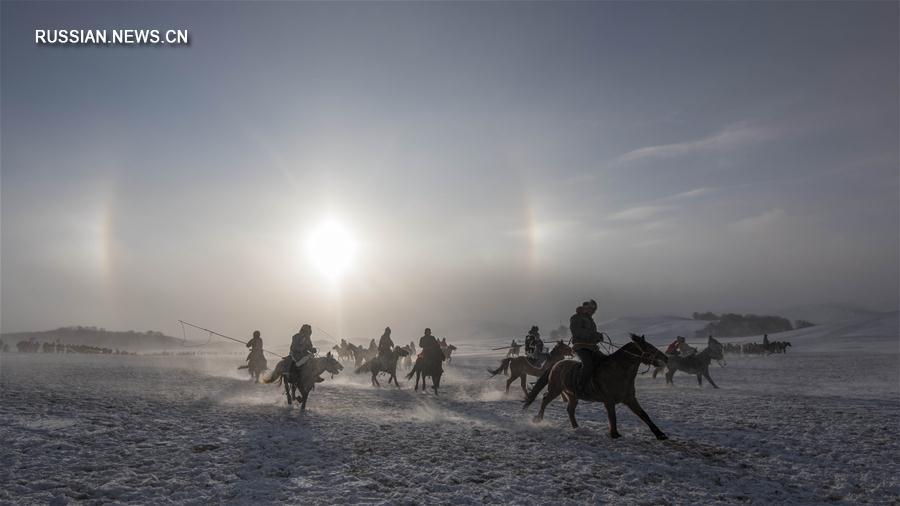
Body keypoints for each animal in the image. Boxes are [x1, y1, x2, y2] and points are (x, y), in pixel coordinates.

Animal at [520, 336, 668, 438]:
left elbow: (644, 415)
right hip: (555, 389)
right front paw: (614, 434)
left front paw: (660, 434)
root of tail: (556, 364)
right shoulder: (609, 401)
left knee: (570, 409)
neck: (618, 371)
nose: (665, 358)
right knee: (545, 399)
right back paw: (538, 419)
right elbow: (612, 417)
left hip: (572, 395)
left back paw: (576, 427)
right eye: (649, 347)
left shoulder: (630, 399)